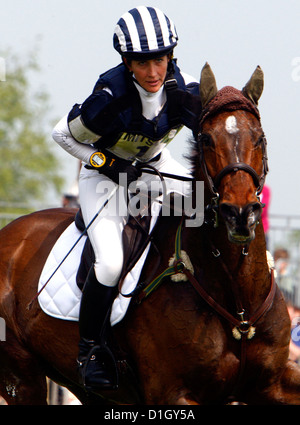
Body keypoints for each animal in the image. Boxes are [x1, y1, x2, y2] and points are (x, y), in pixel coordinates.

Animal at [0, 63, 300, 404]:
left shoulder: (275, 382)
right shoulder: (173, 392)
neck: (238, 297)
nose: (239, 214)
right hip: (23, 376)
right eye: (206, 139)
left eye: (260, 138)